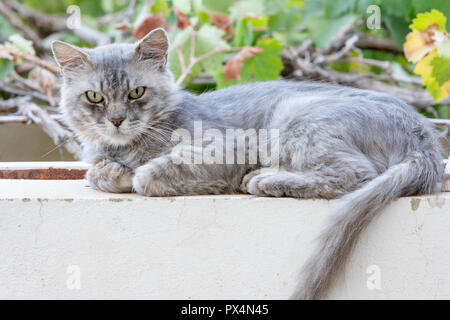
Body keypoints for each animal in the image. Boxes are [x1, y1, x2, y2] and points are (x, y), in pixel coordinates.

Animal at [51, 28, 442, 298]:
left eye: (136, 93)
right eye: (94, 97)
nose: (116, 120)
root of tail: (424, 136)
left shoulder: (228, 146)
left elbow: (153, 173)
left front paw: (138, 173)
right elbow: (97, 171)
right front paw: (112, 172)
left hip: (297, 118)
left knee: (354, 175)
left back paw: (264, 179)